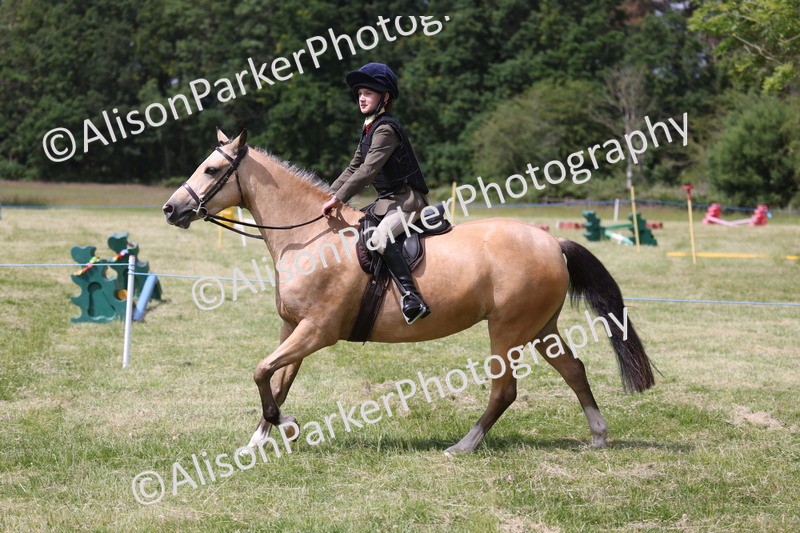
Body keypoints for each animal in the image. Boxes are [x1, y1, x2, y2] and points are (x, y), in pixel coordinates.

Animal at [163, 128, 656, 455]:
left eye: (211, 169)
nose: (171, 209)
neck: (309, 239)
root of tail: (552, 242)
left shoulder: (317, 331)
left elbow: (262, 372)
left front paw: (288, 427)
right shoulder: (293, 328)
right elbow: (276, 380)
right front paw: (261, 439)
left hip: (508, 331)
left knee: (505, 391)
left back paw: (463, 446)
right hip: (540, 328)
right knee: (574, 370)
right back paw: (598, 436)